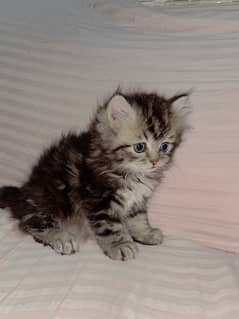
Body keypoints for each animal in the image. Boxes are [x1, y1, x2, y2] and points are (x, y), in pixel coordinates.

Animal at [0, 89, 190, 262]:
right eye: (139, 147)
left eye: (164, 146)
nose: (155, 162)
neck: (129, 171)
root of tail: (22, 194)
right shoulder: (97, 198)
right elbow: (110, 226)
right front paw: (120, 245)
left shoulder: (137, 200)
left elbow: (138, 218)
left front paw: (146, 233)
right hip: (50, 201)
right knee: (31, 223)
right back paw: (62, 238)